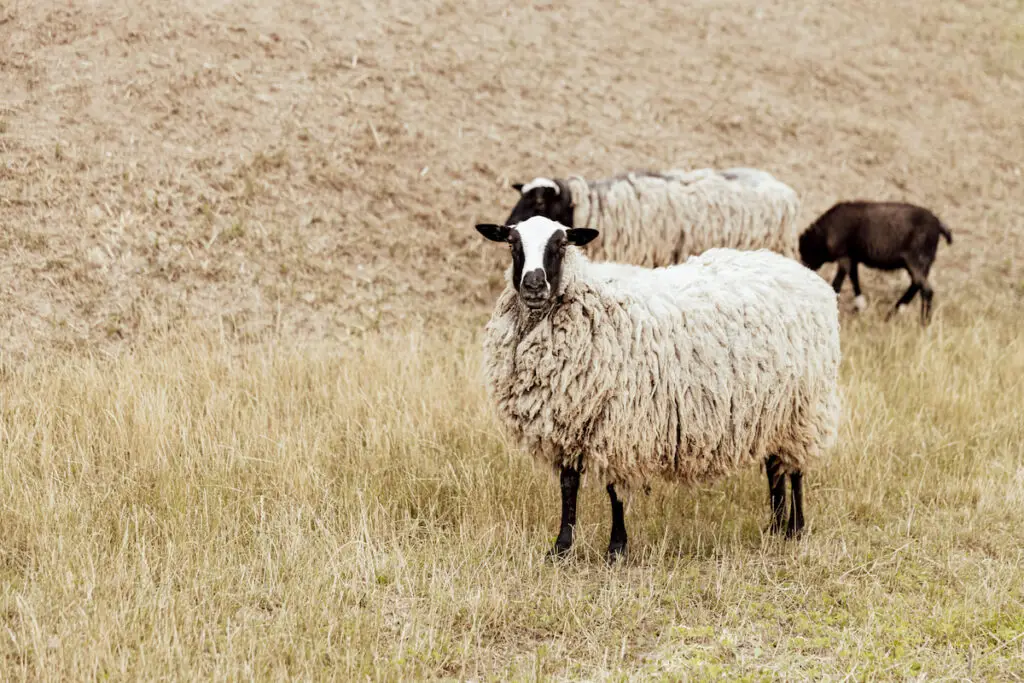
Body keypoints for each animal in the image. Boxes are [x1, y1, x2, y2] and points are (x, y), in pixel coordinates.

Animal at [471, 216, 839, 565]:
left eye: (561, 244)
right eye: (512, 243)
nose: (534, 285)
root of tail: (797, 270)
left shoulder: (619, 424)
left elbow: (614, 491)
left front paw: (617, 549)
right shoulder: (569, 419)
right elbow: (568, 486)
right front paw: (561, 548)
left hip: (803, 408)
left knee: (794, 469)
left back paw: (795, 528)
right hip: (771, 408)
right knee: (775, 466)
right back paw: (775, 526)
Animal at [794, 201, 954, 325]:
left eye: (806, 252)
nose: (804, 268)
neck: (825, 233)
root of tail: (938, 225)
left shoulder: (844, 256)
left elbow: (838, 283)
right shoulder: (853, 257)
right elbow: (854, 279)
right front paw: (860, 306)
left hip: (917, 260)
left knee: (926, 290)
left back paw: (923, 323)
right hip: (923, 263)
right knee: (916, 286)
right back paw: (893, 312)